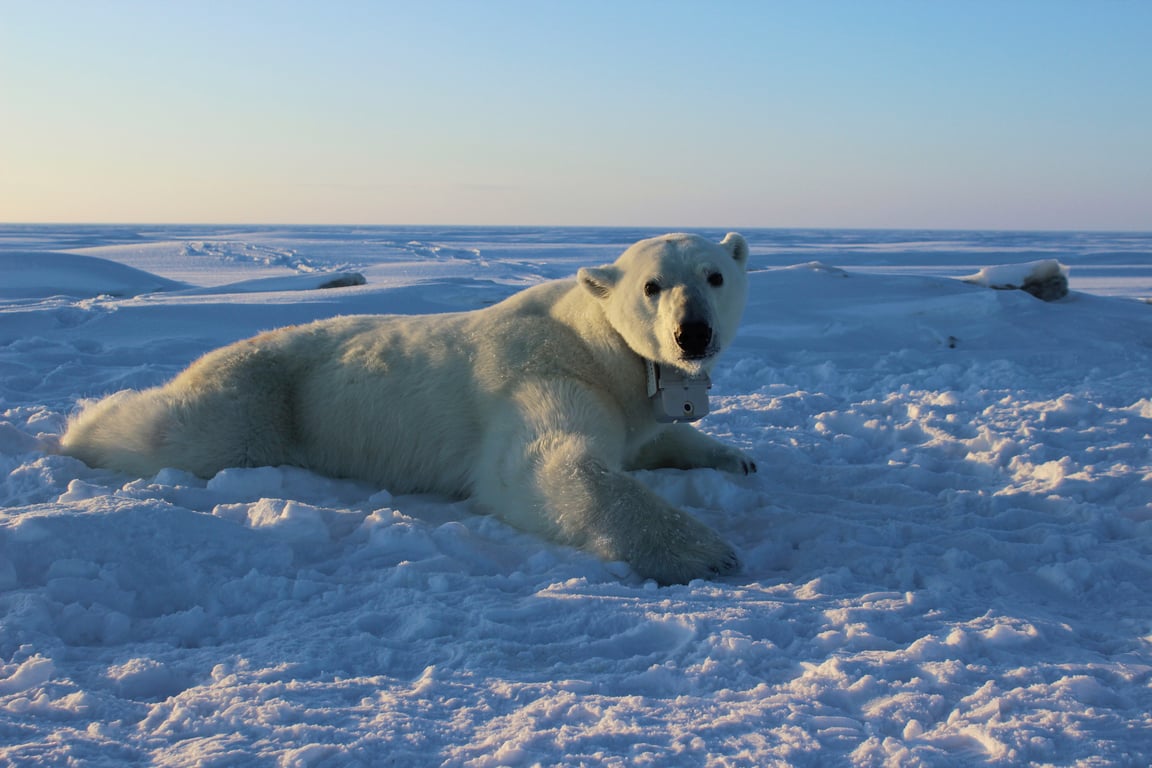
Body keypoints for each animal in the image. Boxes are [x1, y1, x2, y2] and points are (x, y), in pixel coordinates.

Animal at [60, 231, 755, 584]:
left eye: (715, 275)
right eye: (652, 285)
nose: (692, 333)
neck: (595, 343)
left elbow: (654, 436)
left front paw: (735, 458)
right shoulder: (543, 375)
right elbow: (543, 466)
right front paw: (706, 551)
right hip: (260, 400)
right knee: (175, 431)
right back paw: (78, 427)